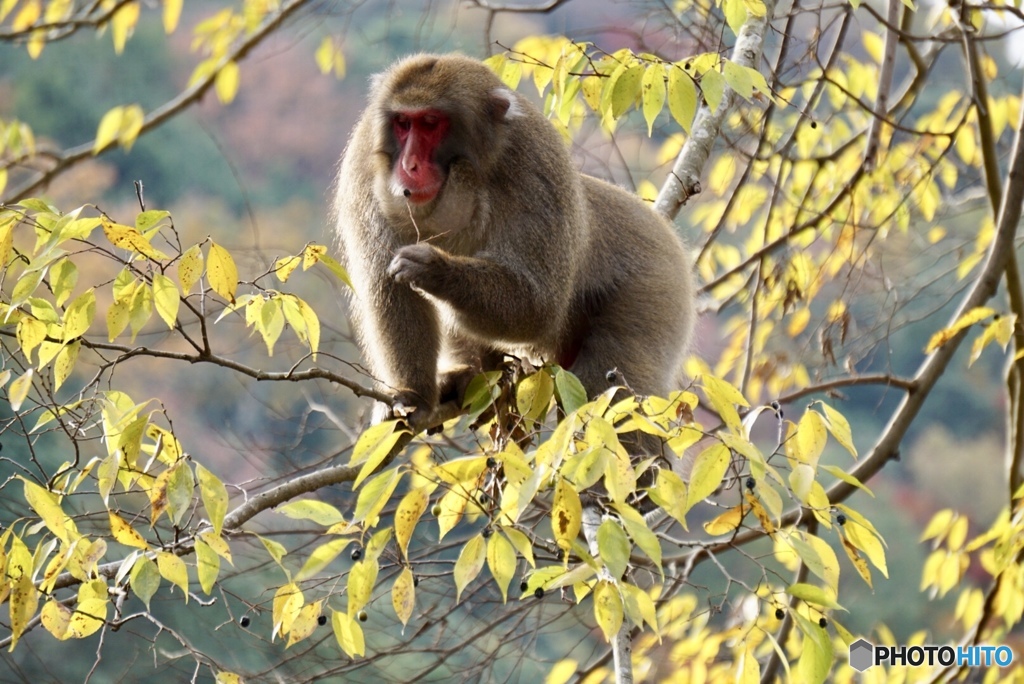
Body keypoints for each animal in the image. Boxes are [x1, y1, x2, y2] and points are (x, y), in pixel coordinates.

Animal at [335, 54, 696, 428]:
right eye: (403, 123)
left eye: (431, 123)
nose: (409, 165)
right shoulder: (363, 164)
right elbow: (391, 291)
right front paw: (413, 397)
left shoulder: (536, 160)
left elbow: (538, 307)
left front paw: (434, 270)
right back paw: (467, 373)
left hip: (655, 289)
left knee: (611, 394)